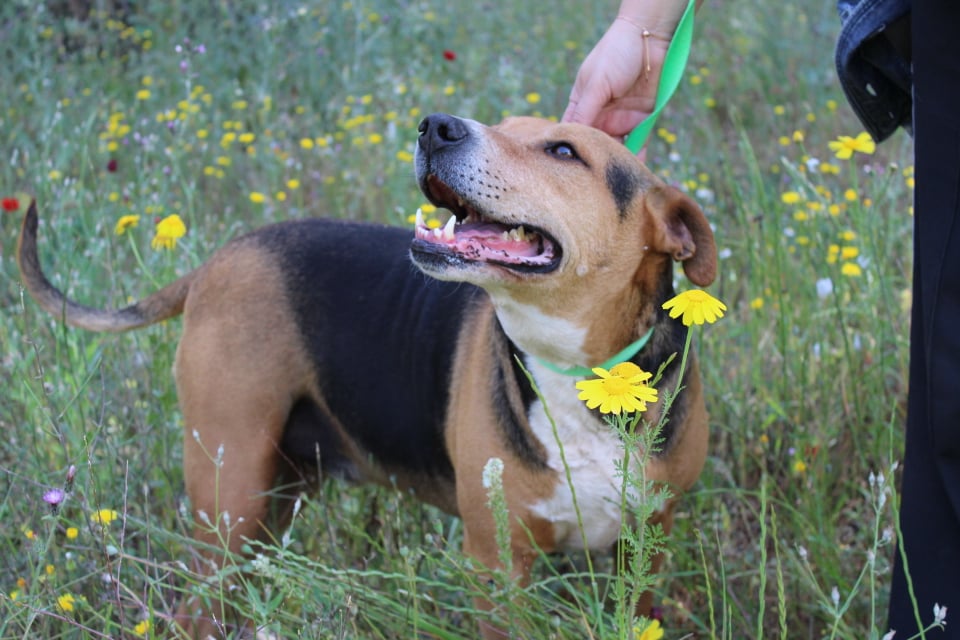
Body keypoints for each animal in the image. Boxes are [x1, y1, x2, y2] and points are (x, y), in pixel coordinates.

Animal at [18, 112, 716, 636]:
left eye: (564, 150)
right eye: (505, 123)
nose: (436, 126)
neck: (581, 371)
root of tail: (221, 257)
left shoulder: (645, 546)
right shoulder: (499, 567)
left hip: (270, 501)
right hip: (231, 498)